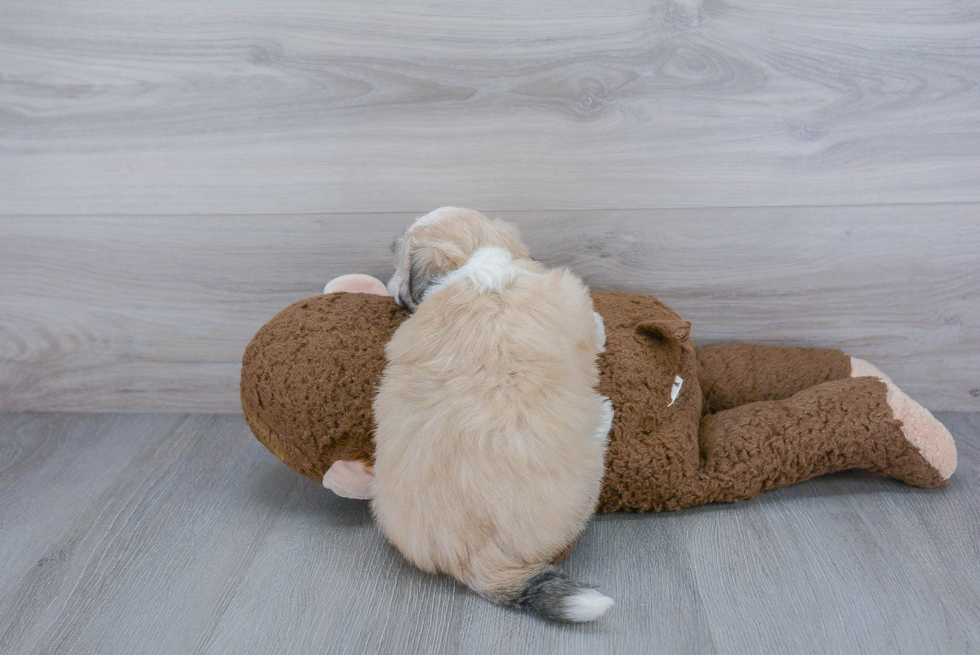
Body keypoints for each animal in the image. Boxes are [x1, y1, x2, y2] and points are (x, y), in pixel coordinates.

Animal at [374, 243, 612, 624]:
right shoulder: (569, 301)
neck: (481, 278)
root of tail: (476, 560)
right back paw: (604, 417)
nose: (390, 289)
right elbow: (592, 330)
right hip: (586, 484)